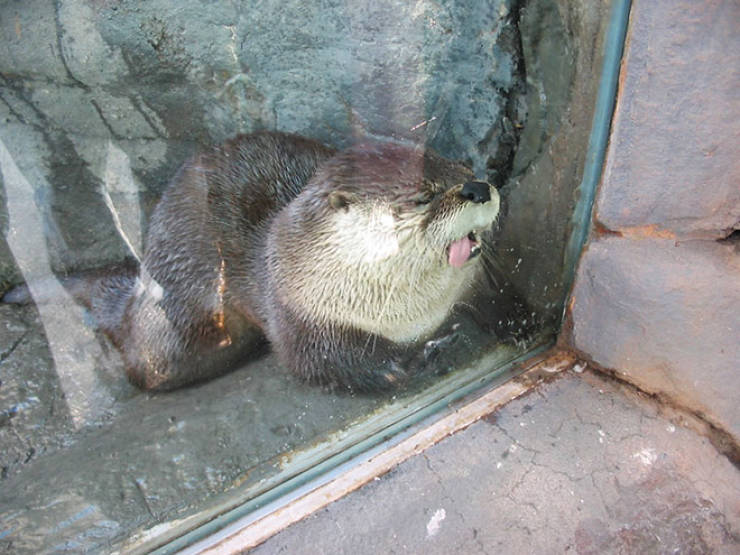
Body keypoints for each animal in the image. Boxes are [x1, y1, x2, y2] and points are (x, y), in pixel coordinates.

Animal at [8, 131, 502, 394]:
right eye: (423, 197)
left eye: (464, 167)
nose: (479, 188)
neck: (409, 314)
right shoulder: (300, 314)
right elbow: (325, 362)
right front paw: (419, 357)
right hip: (178, 330)